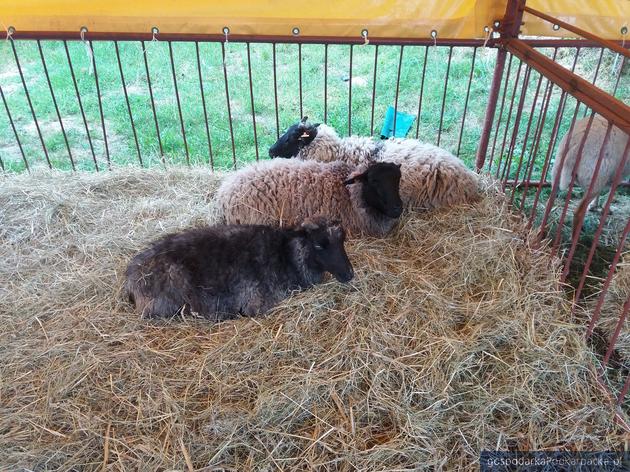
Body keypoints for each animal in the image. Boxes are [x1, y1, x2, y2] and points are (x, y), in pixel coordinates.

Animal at [126, 218, 356, 320]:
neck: (287, 254)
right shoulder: (257, 302)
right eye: (318, 245)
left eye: (342, 240)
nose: (349, 274)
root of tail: (130, 276)